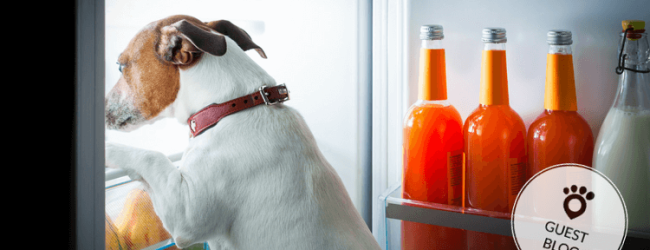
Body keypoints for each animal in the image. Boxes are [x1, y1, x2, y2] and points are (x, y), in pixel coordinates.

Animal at [104, 15, 380, 250]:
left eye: (119, 66)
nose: (101, 106)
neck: (231, 107)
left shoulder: (186, 215)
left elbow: (152, 156)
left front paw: (107, 148)